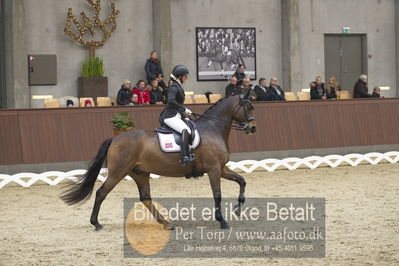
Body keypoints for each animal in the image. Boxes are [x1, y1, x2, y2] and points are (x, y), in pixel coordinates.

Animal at [61, 94, 258, 231]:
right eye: (248, 108)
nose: (252, 128)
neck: (213, 128)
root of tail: (115, 139)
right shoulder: (214, 169)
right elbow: (217, 194)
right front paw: (222, 221)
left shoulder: (222, 168)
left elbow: (242, 181)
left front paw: (238, 208)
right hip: (118, 172)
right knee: (101, 192)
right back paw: (96, 223)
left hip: (139, 173)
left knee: (145, 198)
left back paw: (166, 223)